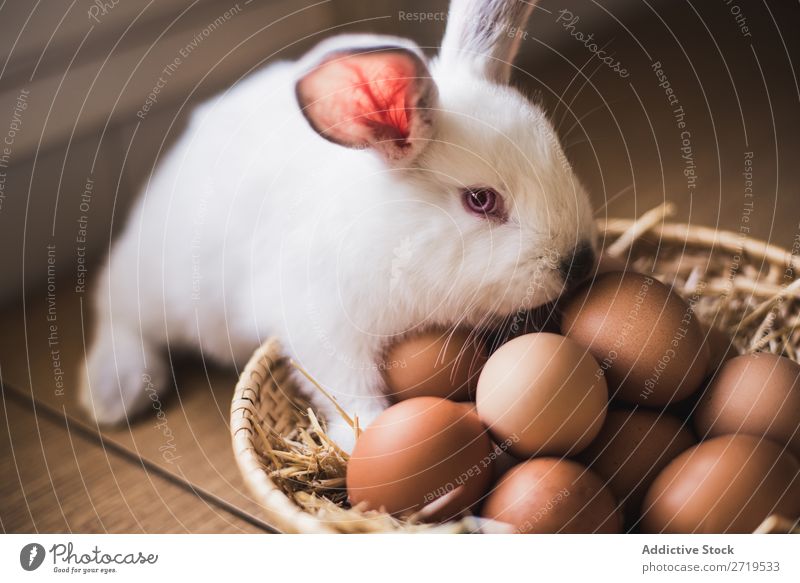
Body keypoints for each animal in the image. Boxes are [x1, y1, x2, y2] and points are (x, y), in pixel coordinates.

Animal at [79, 0, 592, 452]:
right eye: (480, 200)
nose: (580, 262)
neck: (394, 234)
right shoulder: (324, 326)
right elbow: (348, 386)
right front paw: (365, 438)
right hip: (158, 292)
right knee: (114, 311)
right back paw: (114, 393)